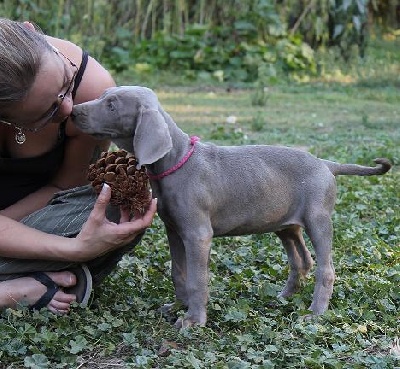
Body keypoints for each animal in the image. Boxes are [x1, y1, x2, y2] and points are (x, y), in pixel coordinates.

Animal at [71, 87, 390, 328]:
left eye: (112, 104)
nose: (73, 111)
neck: (175, 160)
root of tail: (325, 163)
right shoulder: (174, 230)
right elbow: (178, 271)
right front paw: (177, 306)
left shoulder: (198, 234)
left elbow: (197, 278)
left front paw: (194, 320)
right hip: (286, 224)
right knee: (302, 260)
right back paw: (283, 297)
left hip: (318, 219)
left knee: (326, 268)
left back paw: (315, 312)